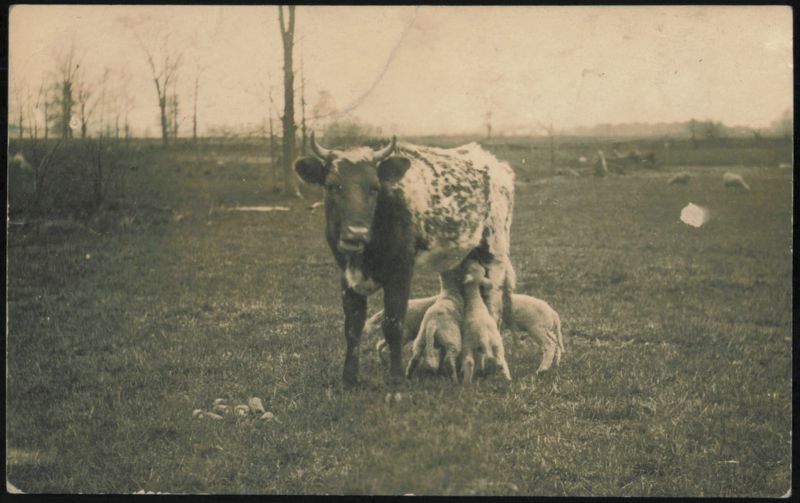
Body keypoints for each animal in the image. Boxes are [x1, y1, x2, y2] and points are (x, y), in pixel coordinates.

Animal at [294, 132, 515, 386]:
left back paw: (486, 365)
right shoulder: (346, 275)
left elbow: (393, 323)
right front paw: (349, 378)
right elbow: (352, 325)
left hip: (495, 253)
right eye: (332, 186)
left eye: (374, 187)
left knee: (494, 305)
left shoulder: (400, 271)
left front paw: (396, 376)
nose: (355, 233)